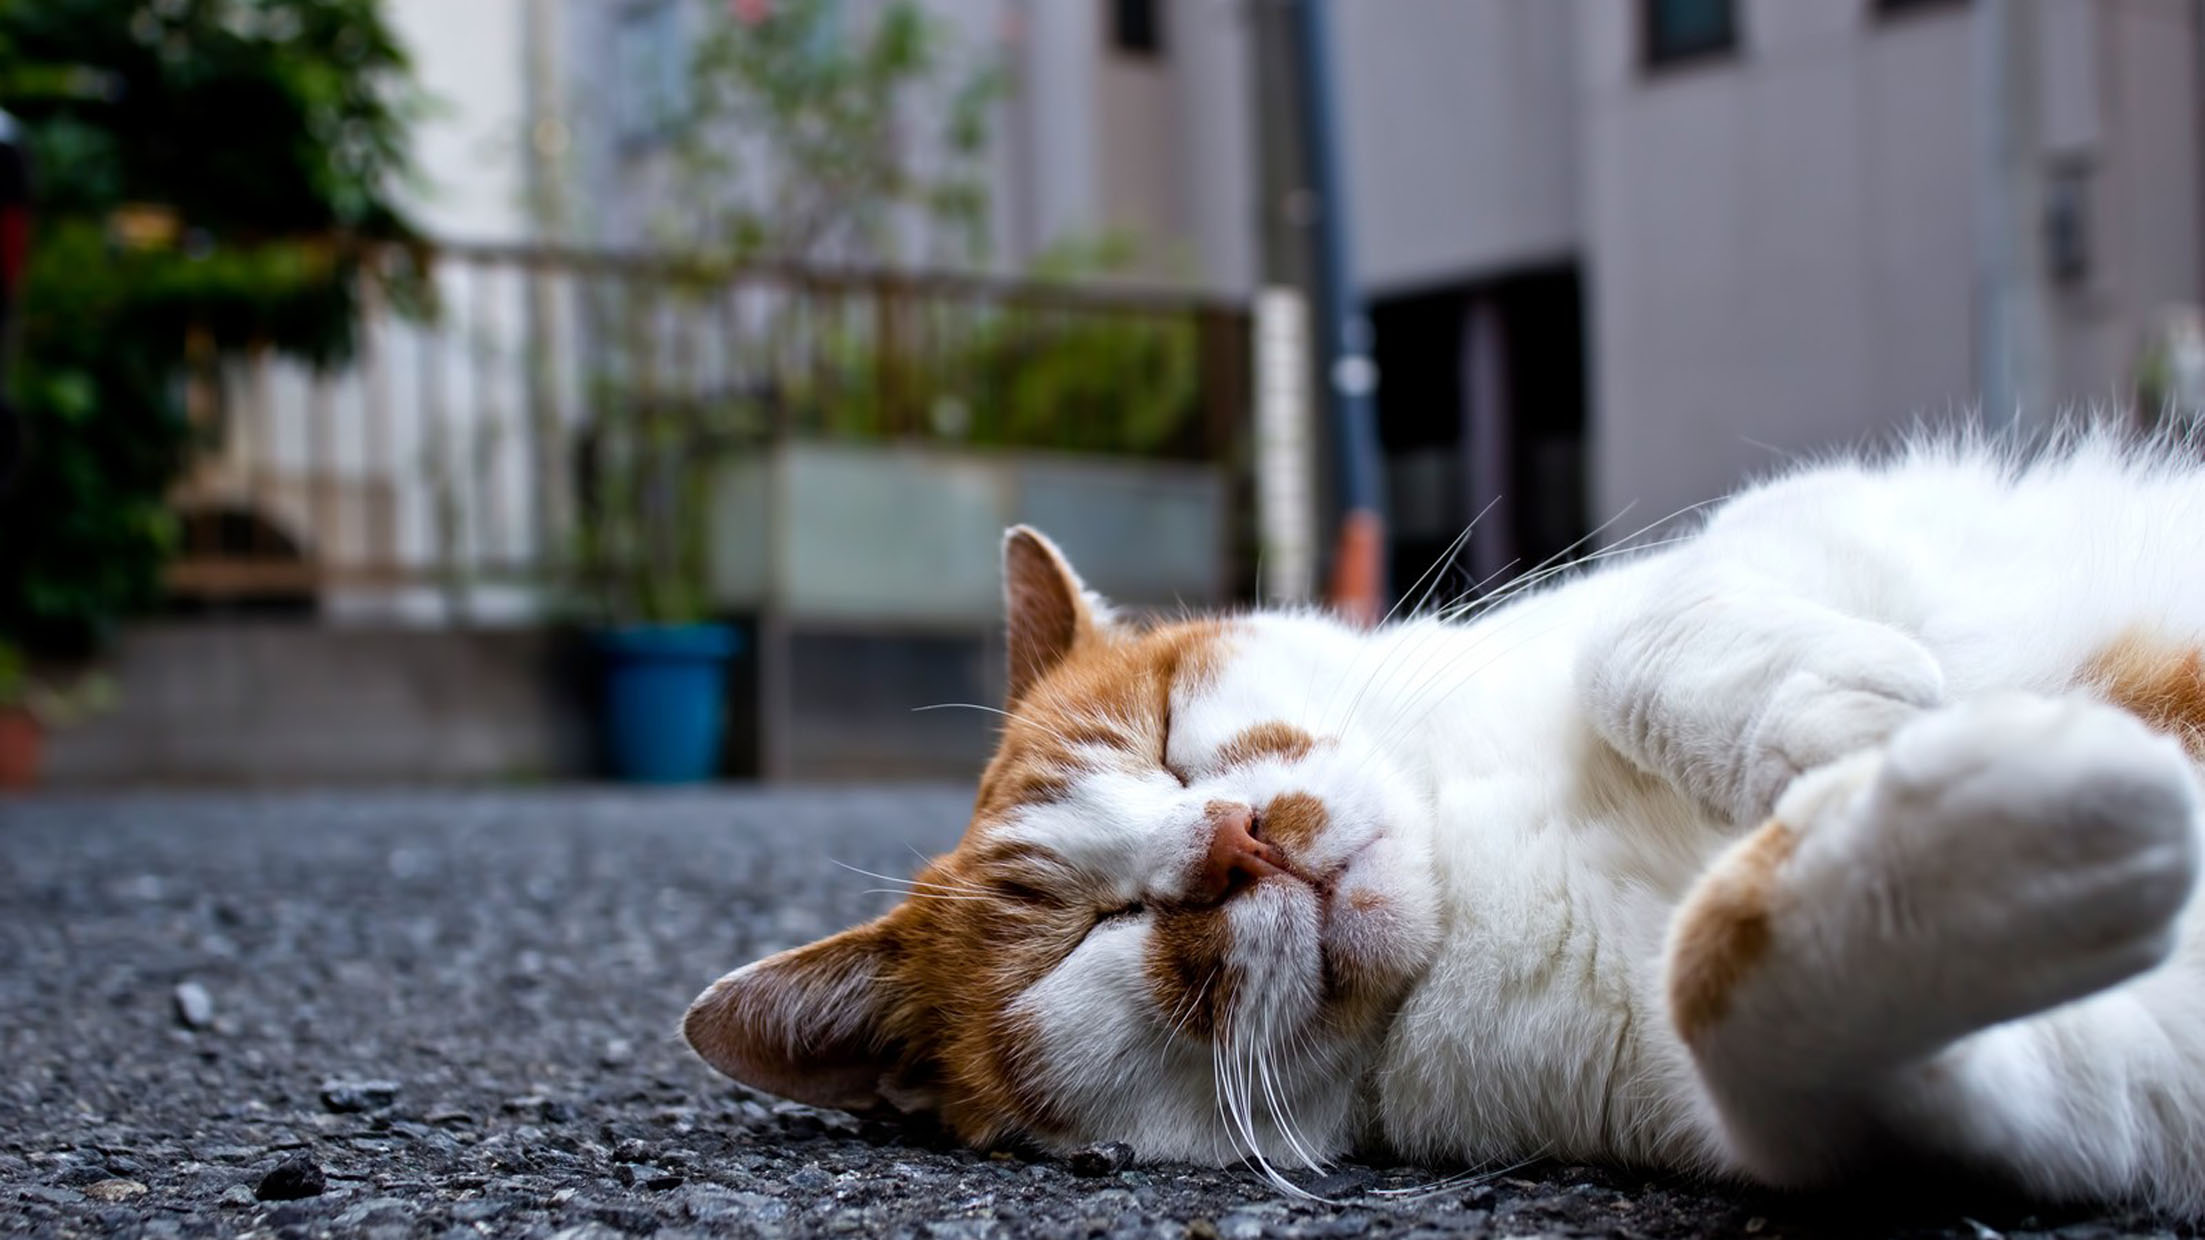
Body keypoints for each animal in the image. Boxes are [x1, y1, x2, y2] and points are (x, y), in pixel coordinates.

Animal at [679, 421, 2205, 1209]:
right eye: (1085, 933)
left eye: (1168, 742)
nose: (1230, 843)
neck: (1473, 869)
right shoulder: (2084, 1085)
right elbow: (1741, 985)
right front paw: (2050, 803)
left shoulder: (1833, 513)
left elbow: (1641, 631)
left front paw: (1855, 722)